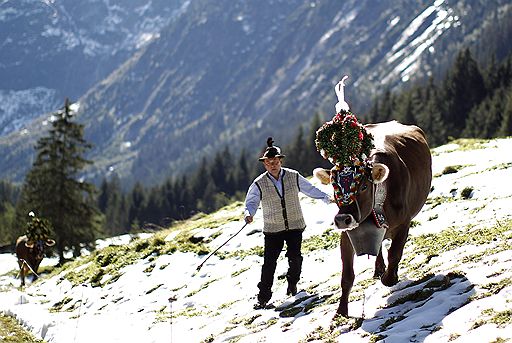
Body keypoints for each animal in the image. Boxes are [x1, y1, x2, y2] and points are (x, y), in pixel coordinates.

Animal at [314, 121, 430, 318]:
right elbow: (347, 276)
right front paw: (341, 311)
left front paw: (390, 278)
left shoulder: (404, 223)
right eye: (334, 187)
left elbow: (395, 254)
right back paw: (378, 268)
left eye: (363, 187)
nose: (342, 219)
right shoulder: (347, 235)